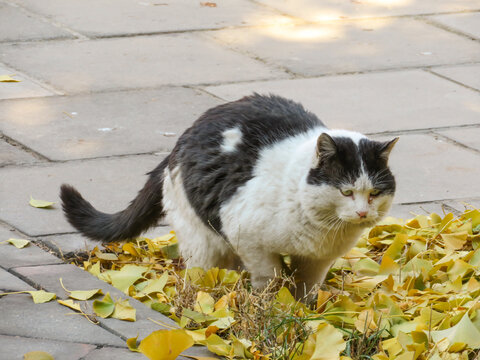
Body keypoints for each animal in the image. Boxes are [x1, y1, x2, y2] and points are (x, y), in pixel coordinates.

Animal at [60, 93, 398, 296]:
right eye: (346, 191)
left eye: (375, 193)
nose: (363, 213)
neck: (321, 231)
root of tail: (180, 141)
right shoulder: (248, 238)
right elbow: (269, 276)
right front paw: (270, 304)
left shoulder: (318, 260)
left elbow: (306, 288)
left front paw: (304, 312)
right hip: (203, 241)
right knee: (200, 276)